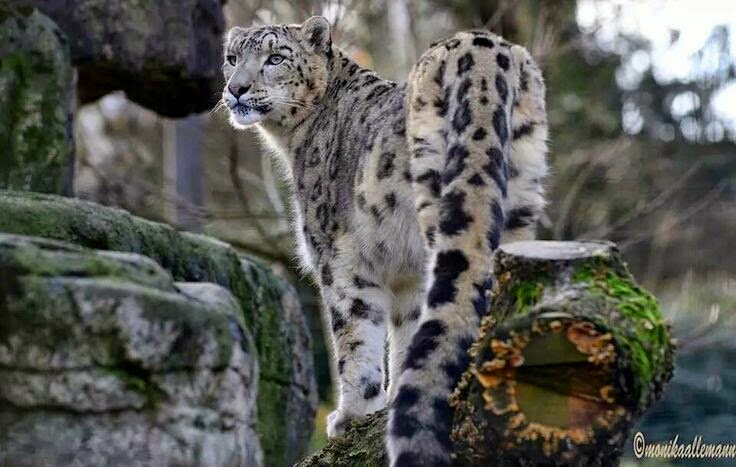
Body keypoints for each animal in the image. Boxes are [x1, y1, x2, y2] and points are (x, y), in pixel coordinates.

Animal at [222, 16, 548, 466]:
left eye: (275, 58)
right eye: (232, 58)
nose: (236, 88)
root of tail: (481, 47)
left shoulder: (337, 259)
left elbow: (355, 335)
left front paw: (352, 414)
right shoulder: (406, 276)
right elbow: (405, 328)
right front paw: (393, 395)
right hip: (523, 193)